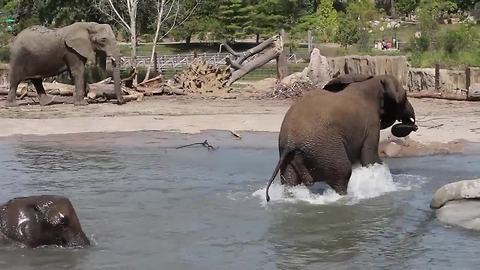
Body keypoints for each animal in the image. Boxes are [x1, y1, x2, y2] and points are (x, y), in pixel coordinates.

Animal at [264, 74, 418, 200]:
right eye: (405, 96)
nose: (414, 126)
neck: (374, 81)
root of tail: (290, 142)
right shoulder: (371, 124)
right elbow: (369, 158)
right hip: (324, 147)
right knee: (343, 173)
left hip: (290, 157)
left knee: (290, 181)